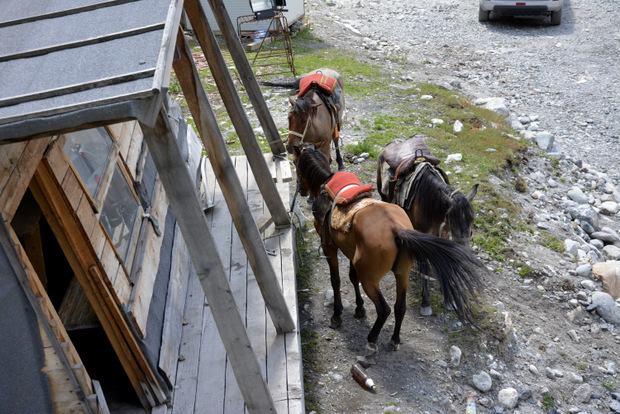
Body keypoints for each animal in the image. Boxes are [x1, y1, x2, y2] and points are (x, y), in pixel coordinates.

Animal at [372, 137, 480, 316]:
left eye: (472, 219)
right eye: (453, 220)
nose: (465, 252)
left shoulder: (443, 235)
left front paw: (448, 300)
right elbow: (425, 268)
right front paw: (426, 302)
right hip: (384, 195)